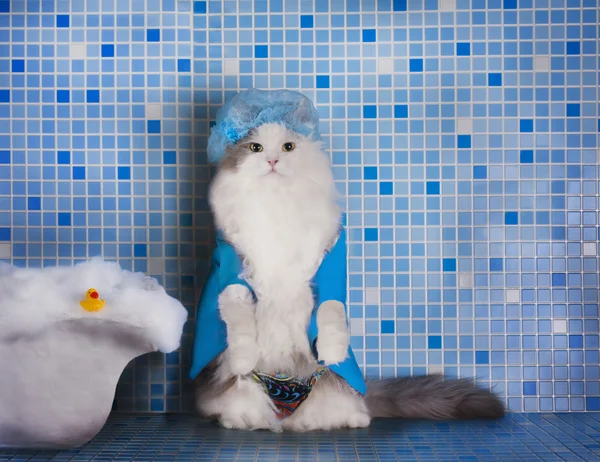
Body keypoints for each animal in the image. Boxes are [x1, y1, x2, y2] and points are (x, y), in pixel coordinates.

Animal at [195, 121, 504, 432]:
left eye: (288, 147)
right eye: (255, 148)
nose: (272, 161)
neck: (277, 208)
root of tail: (288, 417)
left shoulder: (329, 265)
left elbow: (330, 312)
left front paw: (333, 351)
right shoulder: (230, 271)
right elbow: (239, 320)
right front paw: (243, 359)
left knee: (345, 412)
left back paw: (351, 418)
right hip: (240, 391)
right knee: (248, 408)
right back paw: (242, 419)